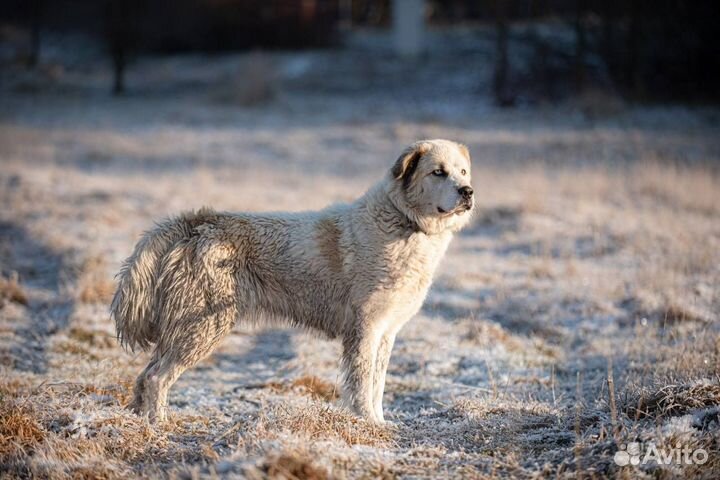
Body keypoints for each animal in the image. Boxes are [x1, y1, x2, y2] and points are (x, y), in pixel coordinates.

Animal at [111, 139, 472, 424]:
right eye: (438, 172)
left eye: (463, 172)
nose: (468, 192)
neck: (404, 221)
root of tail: (197, 222)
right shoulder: (365, 328)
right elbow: (361, 384)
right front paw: (367, 423)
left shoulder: (386, 332)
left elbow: (377, 385)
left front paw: (381, 423)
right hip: (203, 325)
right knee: (157, 378)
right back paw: (160, 424)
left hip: (189, 325)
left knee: (144, 376)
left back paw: (139, 421)